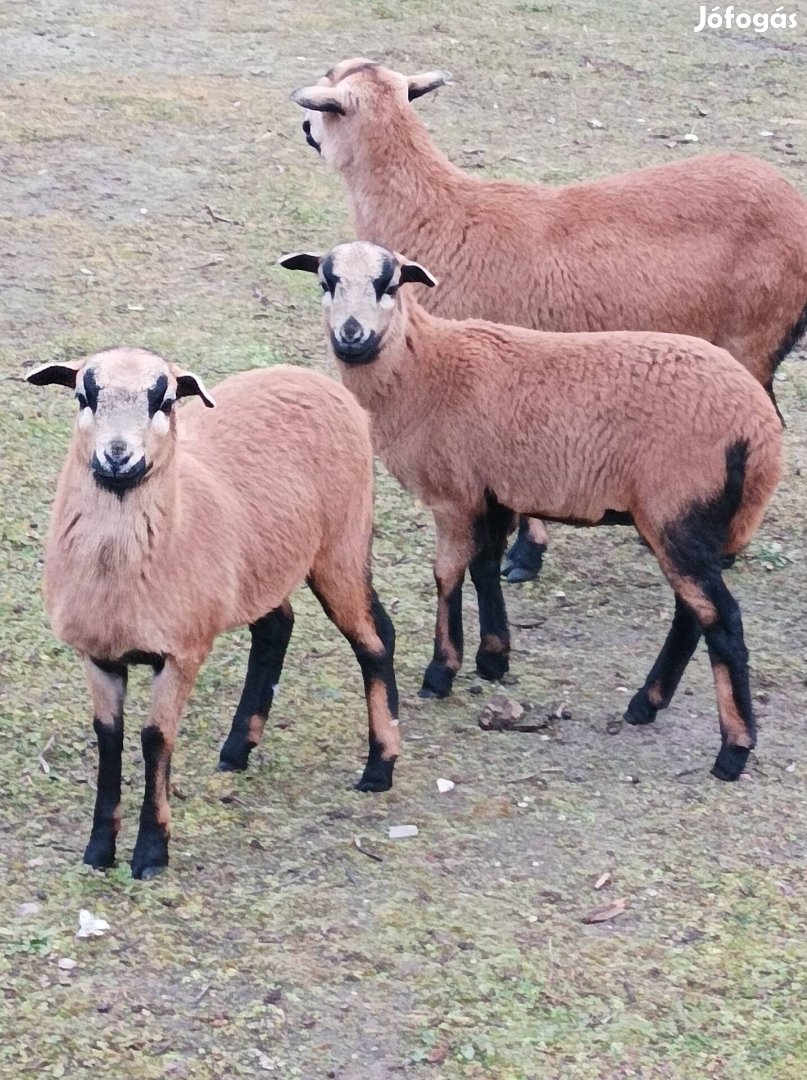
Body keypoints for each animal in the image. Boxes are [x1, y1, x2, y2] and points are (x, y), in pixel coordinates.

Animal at [26, 349, 399, 881]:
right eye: (84, 396)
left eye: (163, 401)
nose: (117, 456)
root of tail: (313, 378)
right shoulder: (98, 654)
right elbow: (109, 739)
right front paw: (98, 851)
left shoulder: (181, 652)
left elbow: (155, 738)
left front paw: (151, 853)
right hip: (264, 565)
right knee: (276, 627)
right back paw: (238, 747)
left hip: (341, 544)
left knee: (375, 637)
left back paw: (380, 765)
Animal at [283, 243, 782, 786]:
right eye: (326, 282)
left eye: (388, 285)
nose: (351, 335)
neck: (424, 368)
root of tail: (758, 429)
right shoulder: (493, 491)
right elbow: (484, 569)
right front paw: (493, 657)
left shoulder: (454, 494)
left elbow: (447, 574)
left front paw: (442, 671)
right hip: (685, 522)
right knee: (693, 614)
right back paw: (646, 703)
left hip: (679, 513)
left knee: (722, 620)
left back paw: (732, 751)